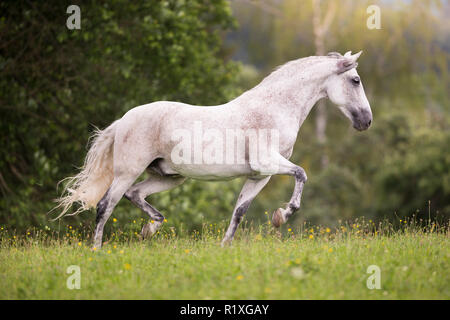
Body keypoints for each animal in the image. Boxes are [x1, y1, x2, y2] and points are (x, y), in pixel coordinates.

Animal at [56, 51, 372, 249]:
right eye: (355, 80)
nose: (366, 121)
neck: (274, 108)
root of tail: (123, 120)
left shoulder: (259, 175)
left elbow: (239, 211)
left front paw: (226, 245)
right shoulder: (269, 162)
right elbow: (302, 174)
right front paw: (283, 214)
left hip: (169, 177)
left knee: (135, 195)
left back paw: (151, 228)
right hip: (127, 173)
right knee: (104, 206)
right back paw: (97, 250)